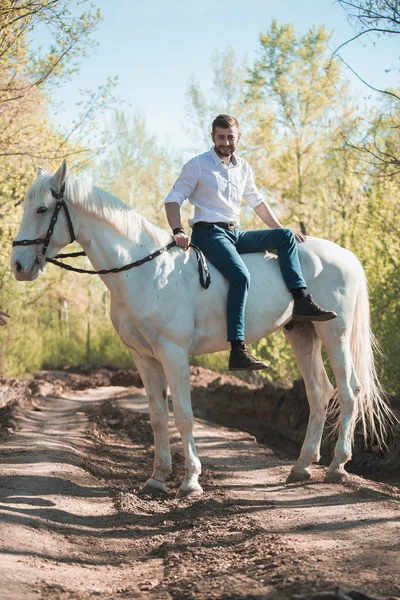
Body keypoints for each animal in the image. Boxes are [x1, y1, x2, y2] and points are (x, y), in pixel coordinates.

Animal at [10, 161, 392, 496]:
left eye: (42, 209)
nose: (18, 266)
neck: (144, 270)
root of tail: (346, 256)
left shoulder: (173, 353)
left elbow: (183, 416)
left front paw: (190, 481)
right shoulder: (144, 358)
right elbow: (157, 417)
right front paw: (157, 479)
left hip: (335, 334)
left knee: (349, 391)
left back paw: (337, 466)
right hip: (302, 333)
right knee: (318, 392)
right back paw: (301, 466)